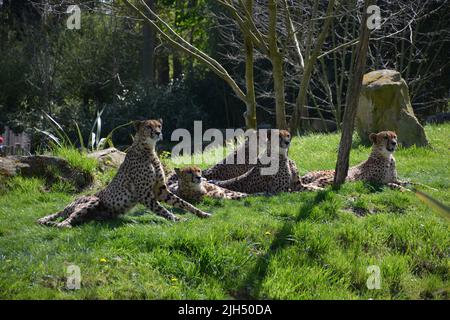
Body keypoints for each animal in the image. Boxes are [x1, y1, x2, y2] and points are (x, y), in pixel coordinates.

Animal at [36, 119, 210, 228]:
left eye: (159, 125)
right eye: (148, 126)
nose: (158, 132)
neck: (148, 150)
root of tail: (68, 204)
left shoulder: (160, 190)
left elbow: (183, 203)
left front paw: (201, 213)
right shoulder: (144, 194)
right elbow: (162, 209)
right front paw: (176, 218)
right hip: (91, 200)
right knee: (65, 220)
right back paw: (63, 225)